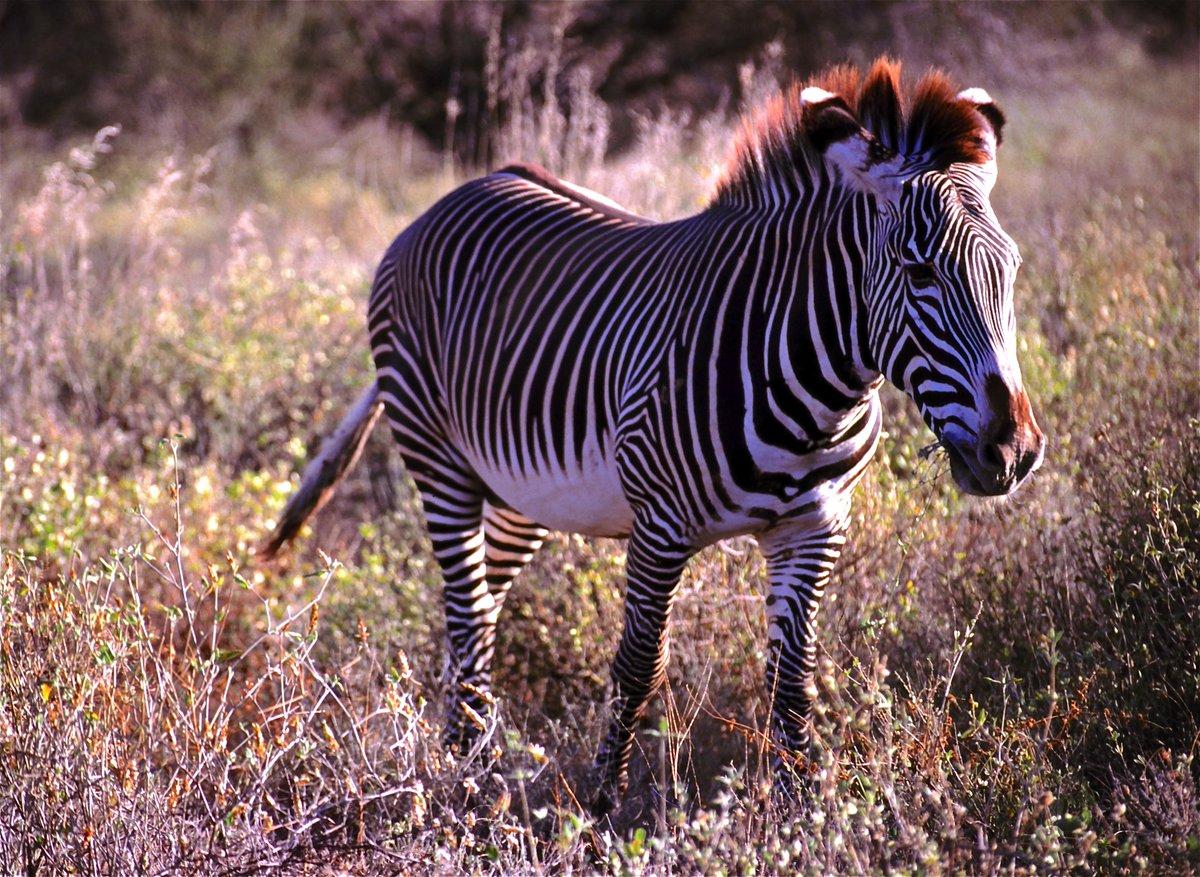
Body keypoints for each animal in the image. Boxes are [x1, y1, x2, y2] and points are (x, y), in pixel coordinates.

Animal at [260, 58, 1045, 812]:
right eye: (919, 271)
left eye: (1011, 269)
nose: (1012, 451)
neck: (815, 391)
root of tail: (454, 194)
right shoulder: (660, 526)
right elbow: (639, 665)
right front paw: (601, 807)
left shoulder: (815, 526)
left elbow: (793, 674)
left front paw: (803, 809)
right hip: (437, 455)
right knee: (464, 611)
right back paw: (469, 767)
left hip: (521, 492)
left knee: (482, 607)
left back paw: (468, 746)